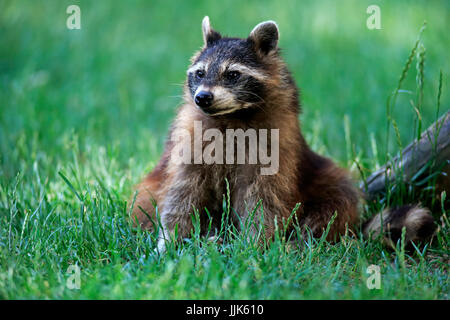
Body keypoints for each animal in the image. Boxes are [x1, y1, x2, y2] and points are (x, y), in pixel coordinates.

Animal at [133, 17, 436, 252]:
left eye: (232, 74)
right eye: (199, 73)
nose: (202, 98)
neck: (232, 116)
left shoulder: (277, 144)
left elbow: (264, 199)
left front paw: (254, 245)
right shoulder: (191, 141)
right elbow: (183, 192)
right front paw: (170, 240)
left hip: (322, 175)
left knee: (337, 199)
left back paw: (302, 241)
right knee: (147, 198)